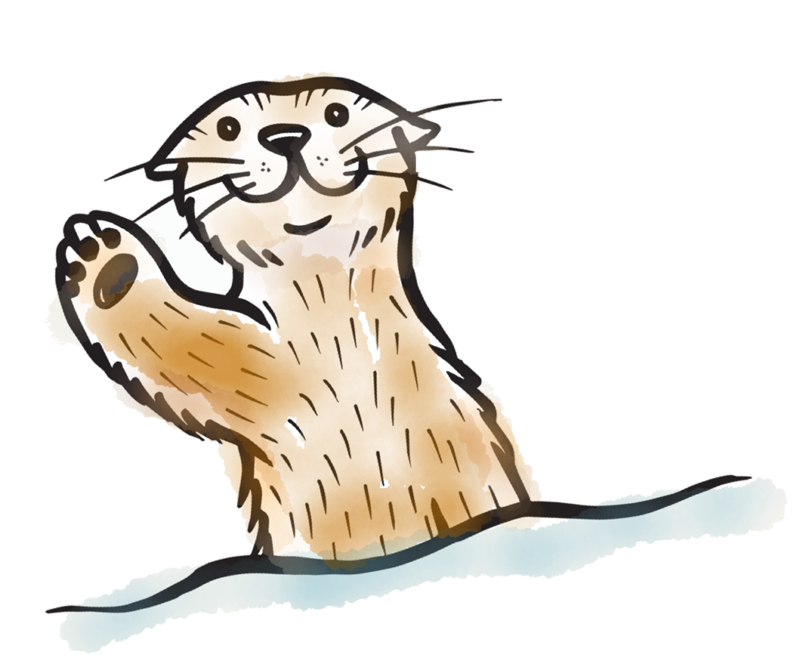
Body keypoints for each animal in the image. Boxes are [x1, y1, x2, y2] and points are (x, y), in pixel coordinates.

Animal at [51, 77, 748, 613]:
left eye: (336, 114)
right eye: (227, 127)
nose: (285, 136)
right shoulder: (262, 379)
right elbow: (193, 351)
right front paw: (104, 261)